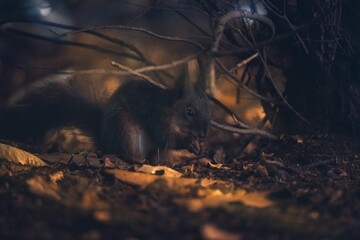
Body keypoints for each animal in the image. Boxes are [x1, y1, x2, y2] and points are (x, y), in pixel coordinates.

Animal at [0, 70, 212, 163]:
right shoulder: (156, 116)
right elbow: (164, 137)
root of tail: (104, 140)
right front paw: (189, 143)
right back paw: (136, 159)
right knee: (124, 152)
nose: (203, 134)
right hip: (125, 130)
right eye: (189, 112)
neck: (171, 111)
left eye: (210, 111)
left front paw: (202, 147)